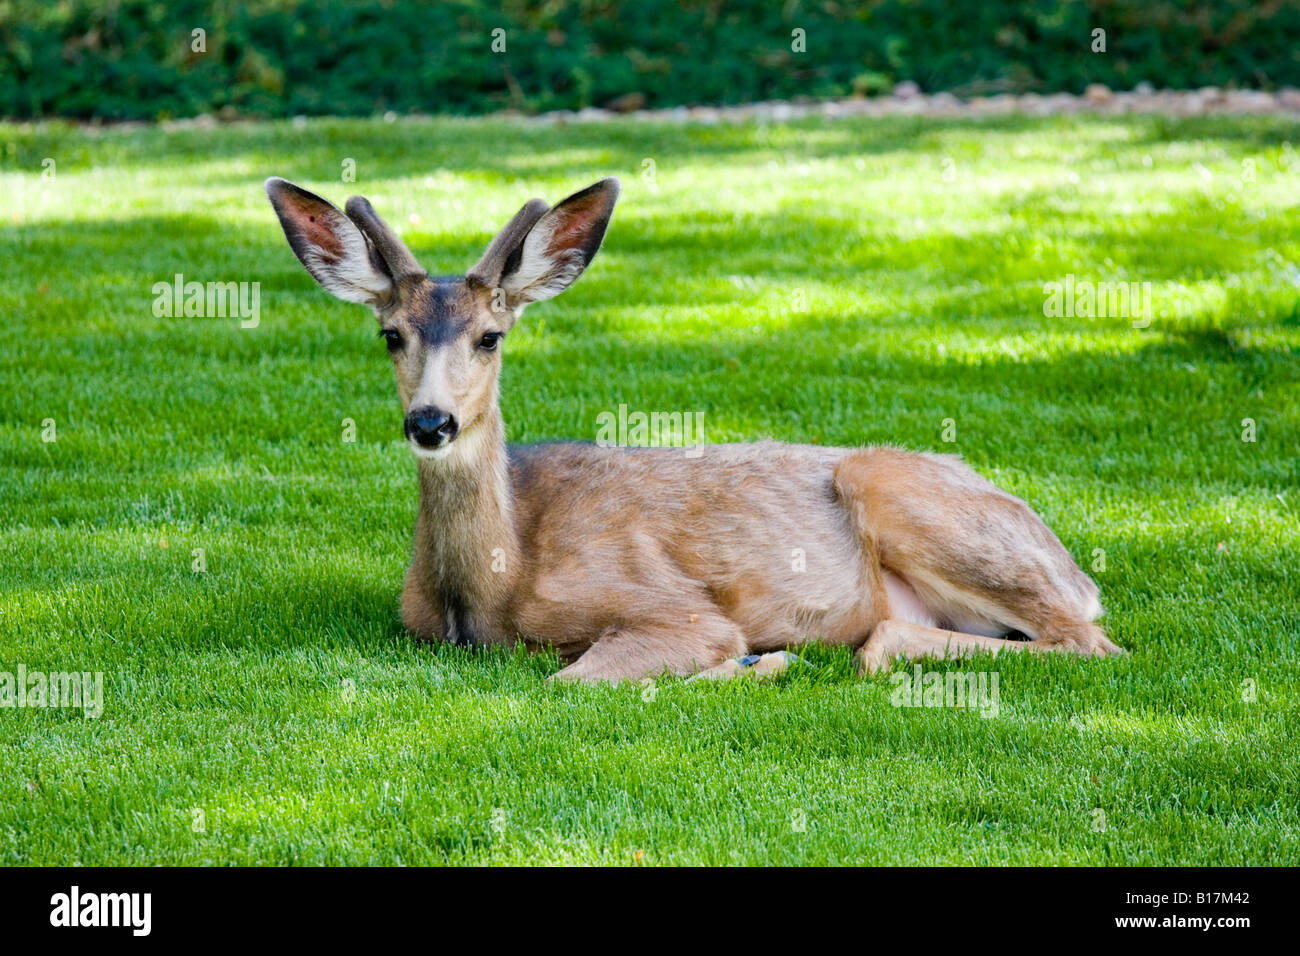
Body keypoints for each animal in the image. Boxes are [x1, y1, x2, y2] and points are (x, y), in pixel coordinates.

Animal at [261, 175, 1118, 686]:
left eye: (490, 337)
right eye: (391, 335)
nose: (431, 420)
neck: (490, 589)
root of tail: (1080, 571)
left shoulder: (670, 605)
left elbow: (572, 677)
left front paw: (751, 658)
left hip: (894, 485)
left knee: (1088, 642)